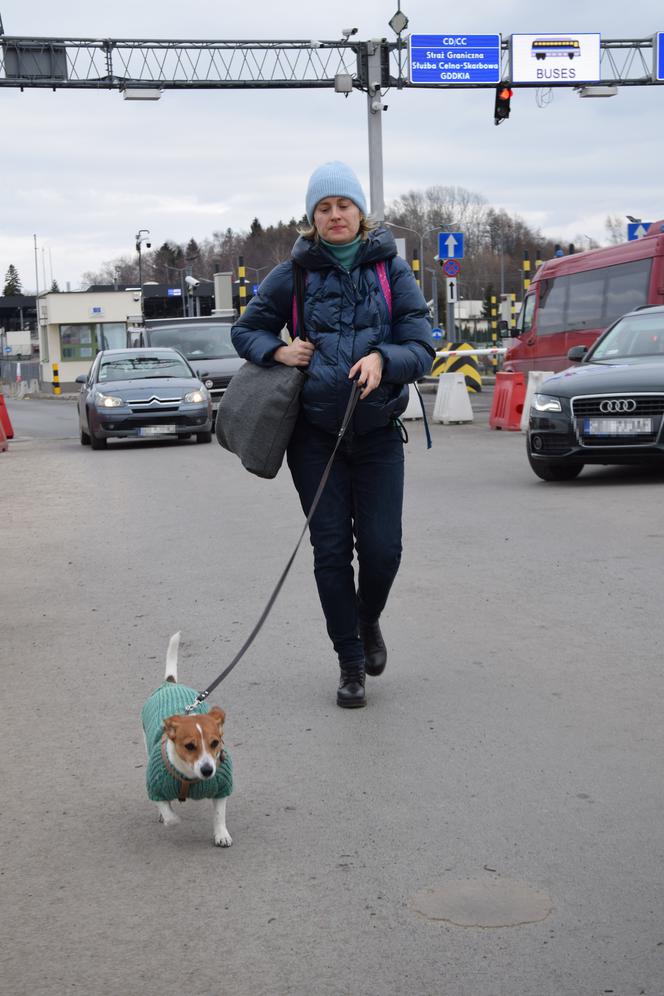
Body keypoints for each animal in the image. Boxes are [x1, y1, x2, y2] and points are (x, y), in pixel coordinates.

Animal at [141, 636, 233, 844]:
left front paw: (221, 834)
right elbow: (170, 815)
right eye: (189, 746)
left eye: (215, 743)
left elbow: (219, 813)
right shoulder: (155, 787)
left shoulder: (222, 785)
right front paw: (169, 817)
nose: (208, 770)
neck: (191, 778)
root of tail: (170, 684)